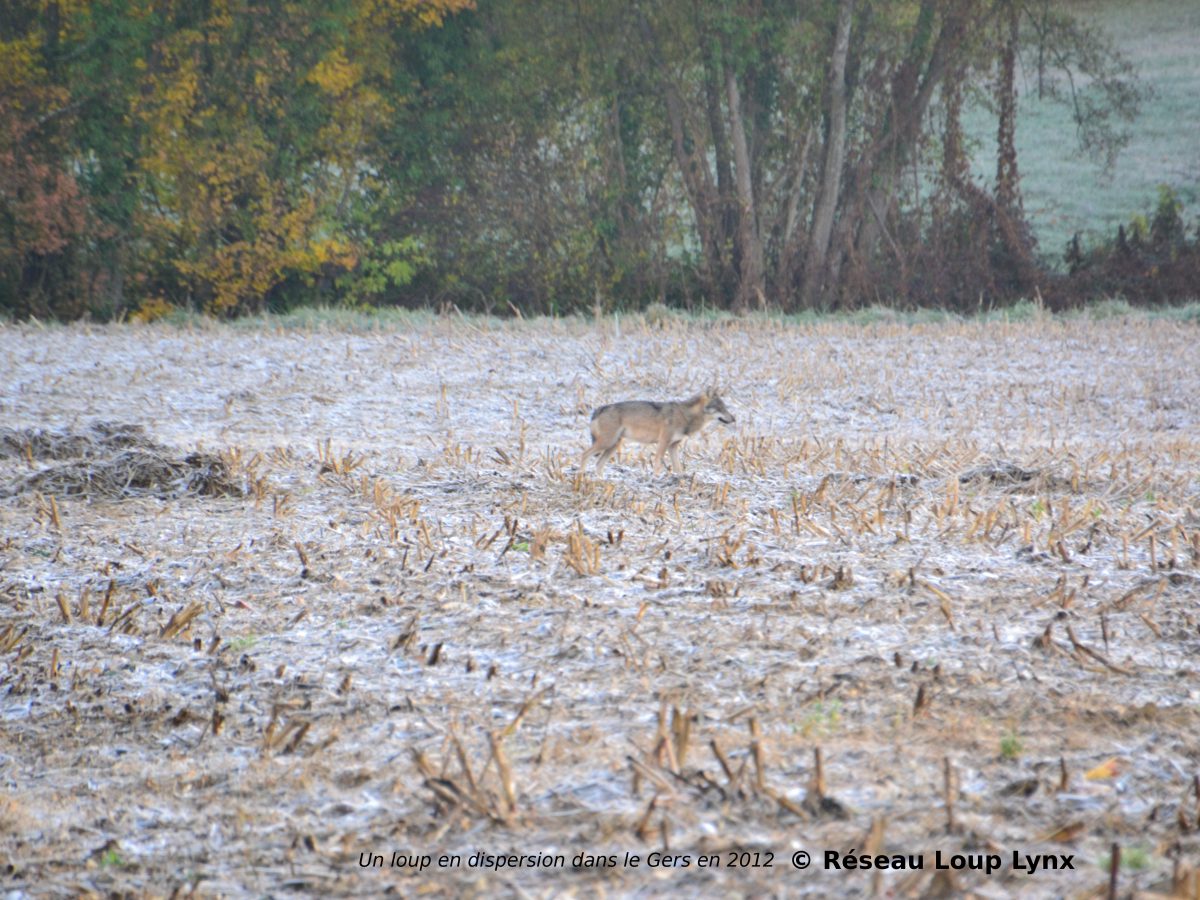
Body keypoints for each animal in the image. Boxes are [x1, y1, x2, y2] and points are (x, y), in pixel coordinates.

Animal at [578, 388, 734, 480]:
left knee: (598, 464)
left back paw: (601, 480)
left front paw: (680, 479)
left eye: (725, 408)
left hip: (613, 445)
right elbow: (658, 462)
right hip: (607, 443)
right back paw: (581, 476)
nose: (734, 419)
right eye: (720, 408)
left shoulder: (673, 446)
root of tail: (599, 409)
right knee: (584, 454)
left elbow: (677, 467)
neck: (686, 416)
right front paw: (656, 478)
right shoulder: (663, 442)